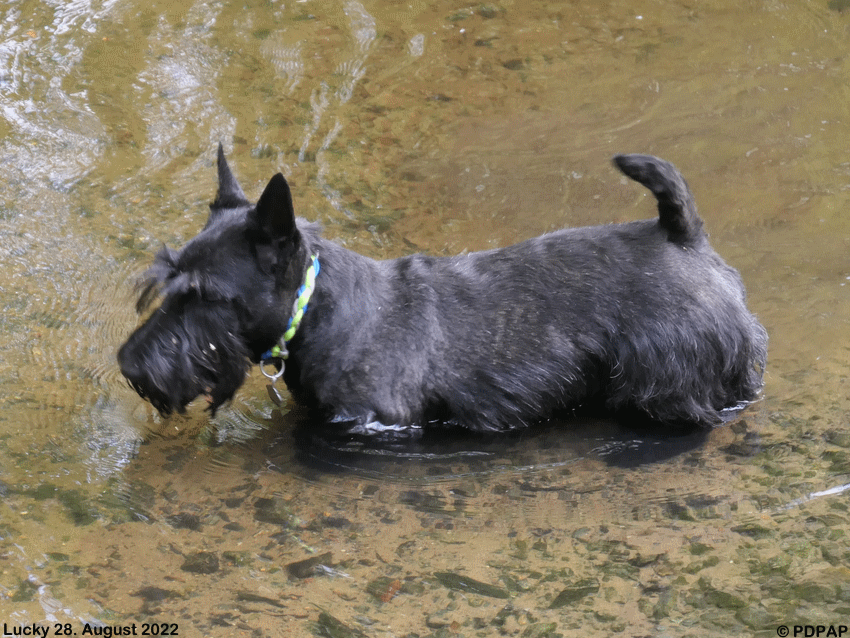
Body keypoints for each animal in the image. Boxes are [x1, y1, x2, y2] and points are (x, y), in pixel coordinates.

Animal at [119, 147, 768, 432]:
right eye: (168, 277)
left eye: (206, 296)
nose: (128, 363)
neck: (322, 310)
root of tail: (681, 236)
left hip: (670, 383)